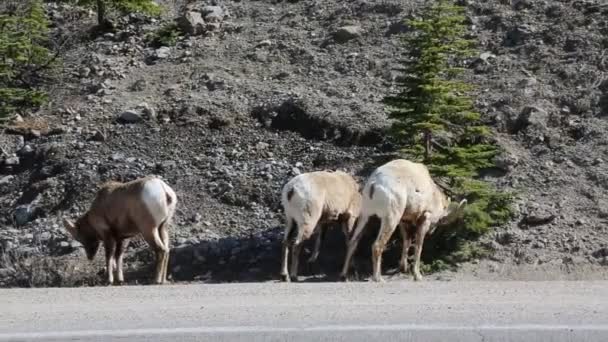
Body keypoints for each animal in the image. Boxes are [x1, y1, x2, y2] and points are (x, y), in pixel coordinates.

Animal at [338, 160, 466, 284]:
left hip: (366, 216)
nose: (432, 232)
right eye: (438, 221)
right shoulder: (425, 218)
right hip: (390, 218)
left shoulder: (404, 221)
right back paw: (378, 278)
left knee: (353, 242)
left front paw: (403, 268)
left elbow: (407, 241)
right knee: (377, 246)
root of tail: (373, 185)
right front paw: (417, 276)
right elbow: (418, 246)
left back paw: (344, 275)